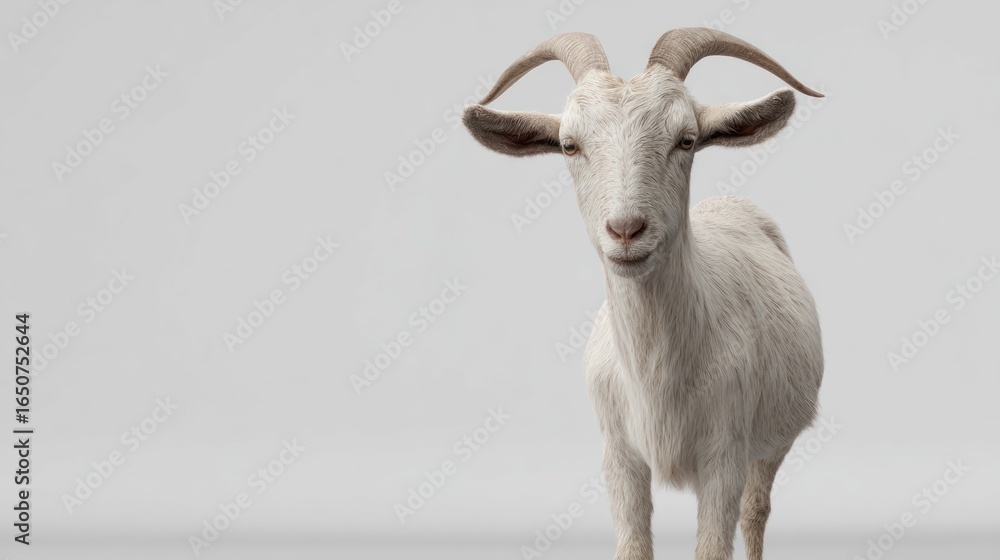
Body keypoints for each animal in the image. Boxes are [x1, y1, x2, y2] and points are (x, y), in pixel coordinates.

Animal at [462, 28, 824, 560]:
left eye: (687, 139)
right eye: (569, 146)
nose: (626, 230)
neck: (658, 376)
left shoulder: (726, 453)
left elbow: (715, 544)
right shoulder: (619, 453)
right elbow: (633, 544)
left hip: (772, 440)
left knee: (755, 510)